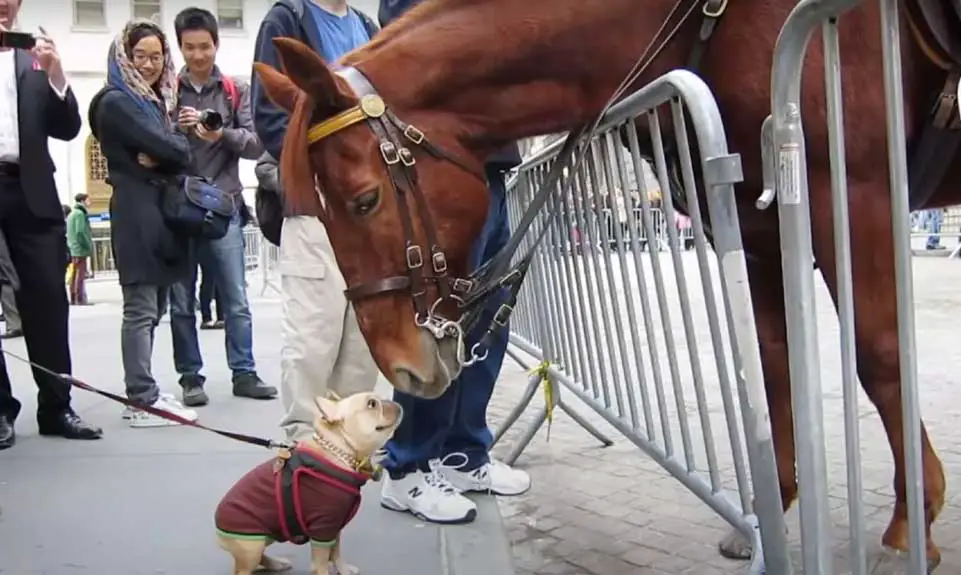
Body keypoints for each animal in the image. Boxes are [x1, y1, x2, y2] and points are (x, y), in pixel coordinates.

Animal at [251, 0, 956, 568]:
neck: (715, 19)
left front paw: (908, 523)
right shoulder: (755, 215)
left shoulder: (853, 190)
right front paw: (773, 508)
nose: (401, 365)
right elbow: (770, 362)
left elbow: (881, 354)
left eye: (365, 201)